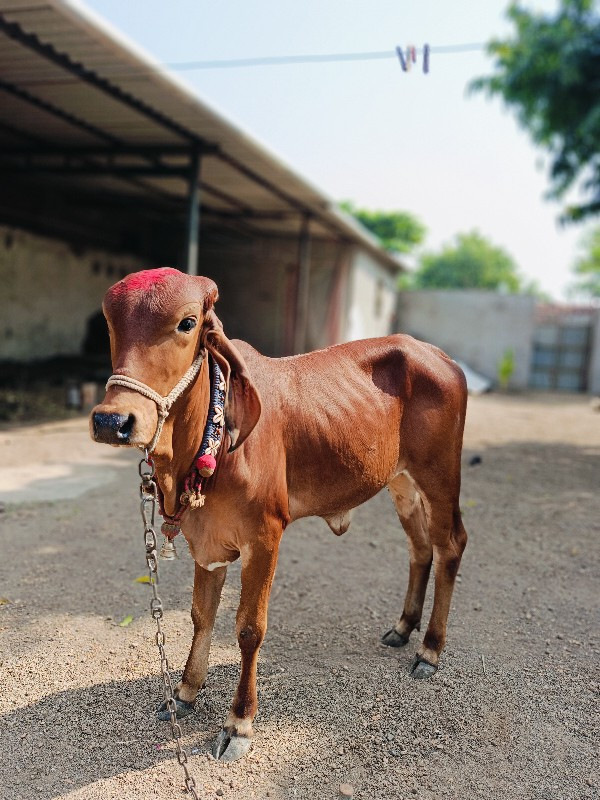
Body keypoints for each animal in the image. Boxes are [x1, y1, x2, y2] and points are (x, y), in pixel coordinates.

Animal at [91, 268, 468, 764]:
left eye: (187, 323)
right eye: (110, 323)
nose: (112, 421)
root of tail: (442, 357)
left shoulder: (265, 535)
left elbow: (249, 629)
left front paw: (238, 723)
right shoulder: (207, 542)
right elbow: (200, 616)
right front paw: (186, 692)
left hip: (440, 476)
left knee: (450, 545)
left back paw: (429, 649)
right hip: (401, 481)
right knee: (420, 547)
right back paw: (404, 627)